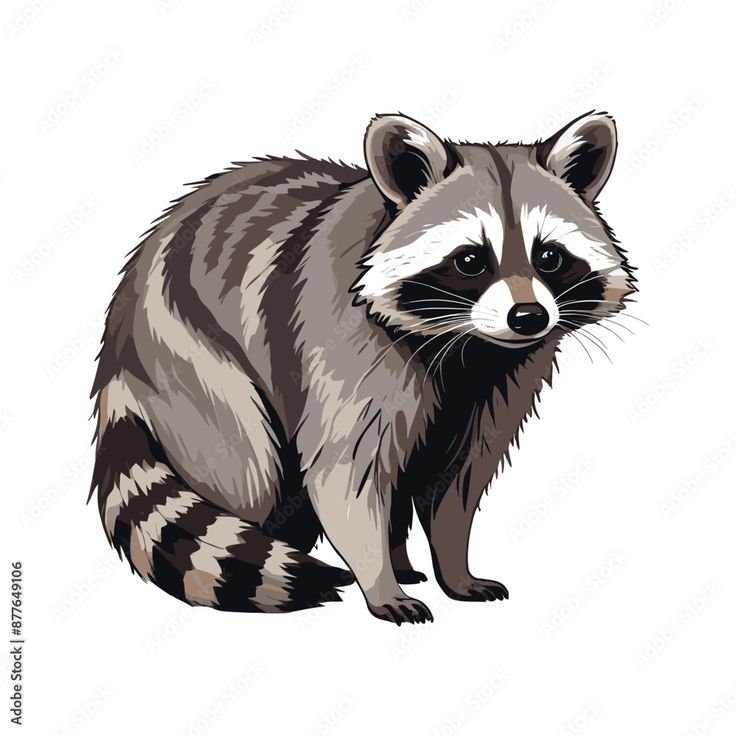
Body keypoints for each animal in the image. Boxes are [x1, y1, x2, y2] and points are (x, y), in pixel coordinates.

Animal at [90, 111, 634, 625]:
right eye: (470, 261)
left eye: (550, 257)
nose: (529, 317)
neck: (466, 346)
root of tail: (119, 330)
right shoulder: (343, 344)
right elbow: (346, 473)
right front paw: (378, 581)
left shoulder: (499, 384)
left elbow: (456, 481)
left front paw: (453, 567)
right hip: (189, 355)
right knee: (248, 464)